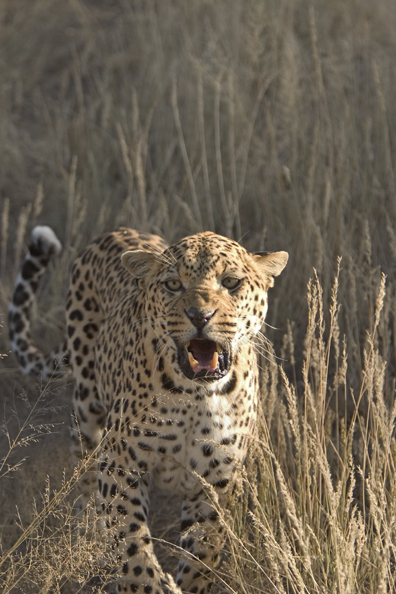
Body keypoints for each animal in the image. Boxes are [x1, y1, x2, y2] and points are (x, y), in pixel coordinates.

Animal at [8, 224, 288, 592]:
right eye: (173, 285)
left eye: (231, 282)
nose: (200, 316)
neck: (197, 395)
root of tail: (117, 231)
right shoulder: (120, 460)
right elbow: (131, 544)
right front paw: (144, 580)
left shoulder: (217, 477)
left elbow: (204, 549)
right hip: (87, 408)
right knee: (84, 475)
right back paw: (88, 538)